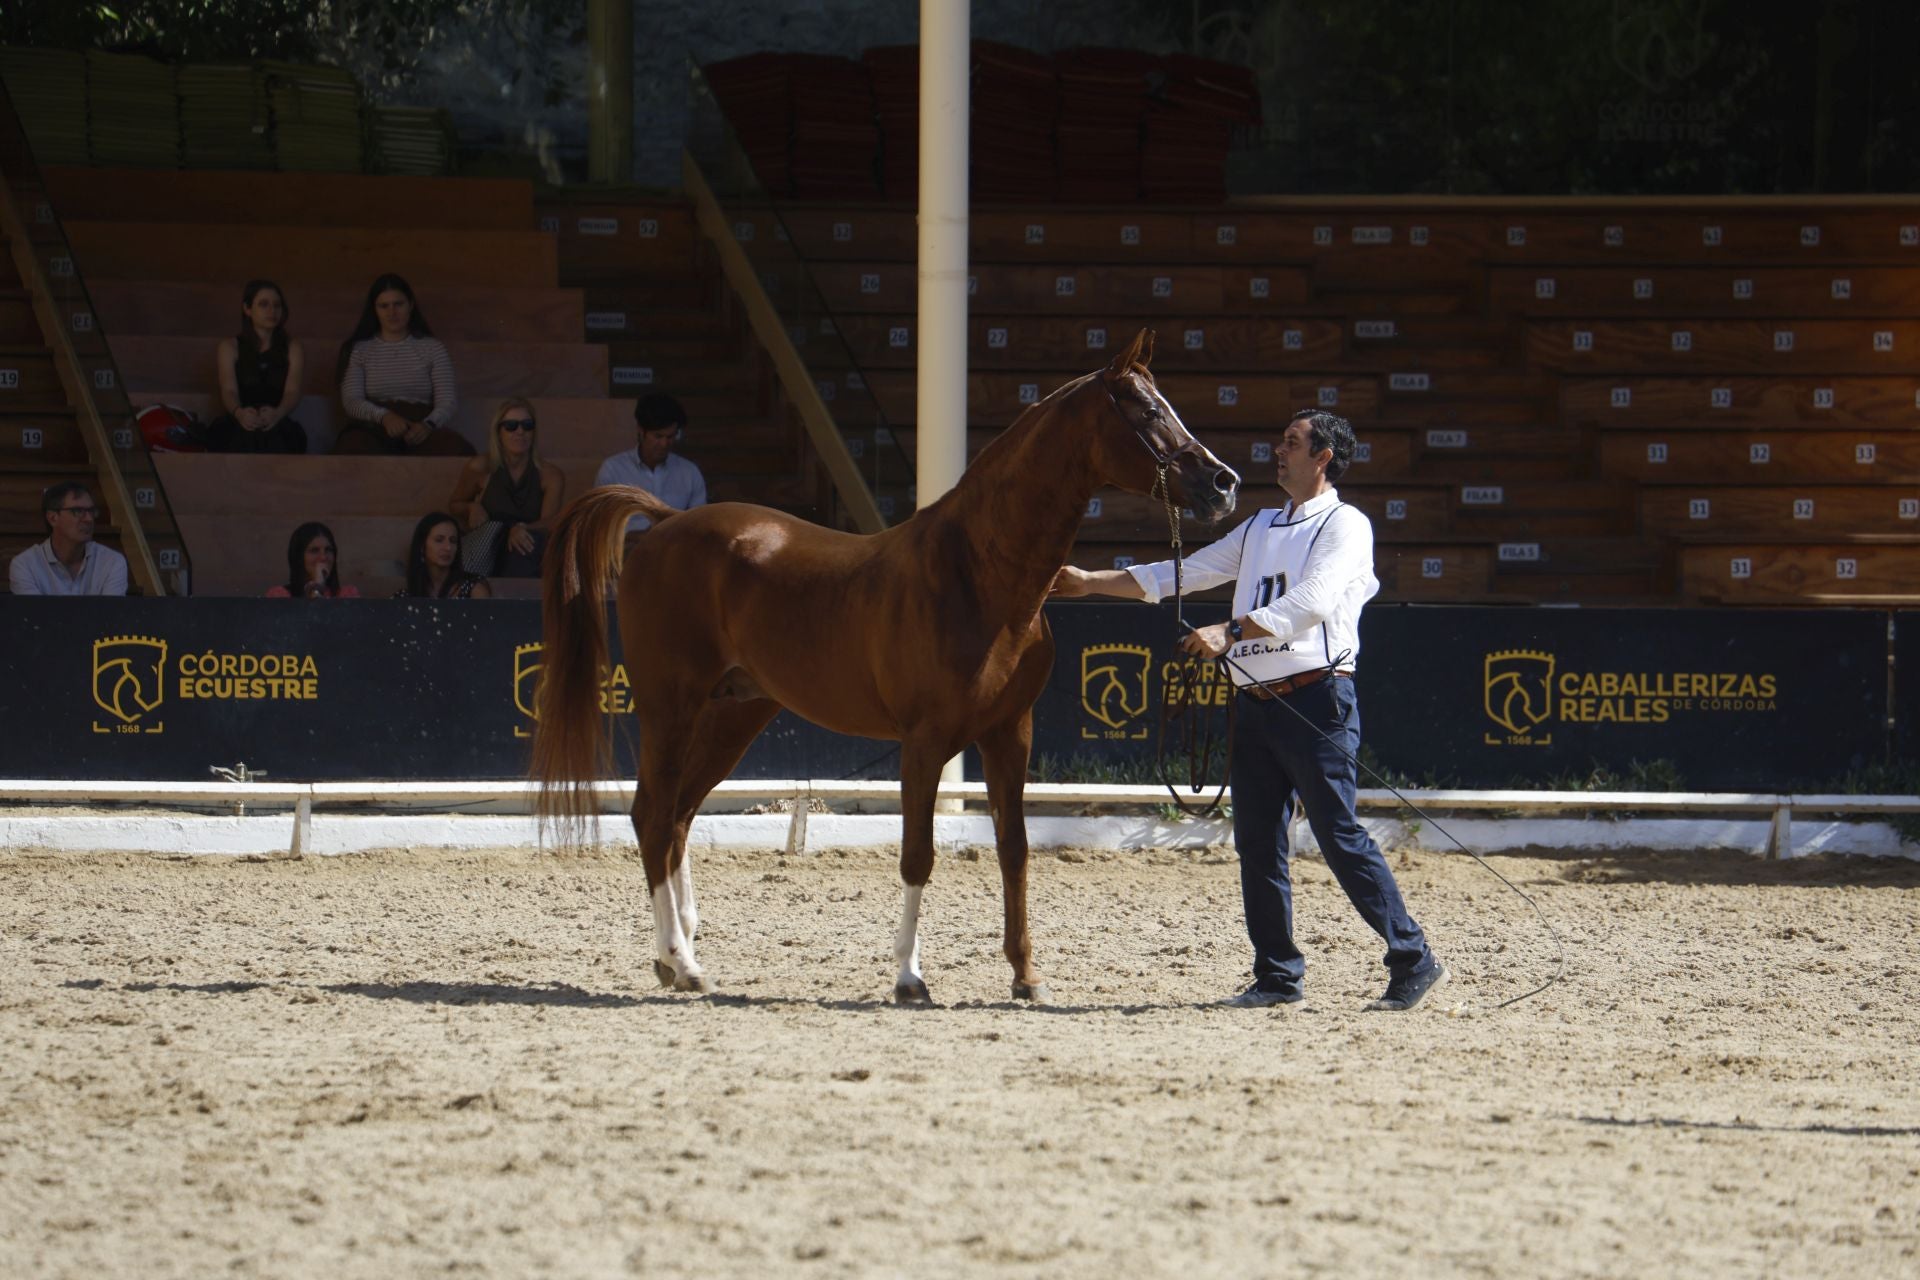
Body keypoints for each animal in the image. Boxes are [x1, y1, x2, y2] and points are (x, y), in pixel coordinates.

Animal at [531, 328, 1239, 1003]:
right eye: (1149, 411)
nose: (1223, 483)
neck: (978, 575)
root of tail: (666, 522)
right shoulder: (923, 742)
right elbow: (917, 856)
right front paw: (908, 977)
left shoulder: (1010, 733)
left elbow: (1014, 849)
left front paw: (1025, 975)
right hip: (670, 708)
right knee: (652, 816)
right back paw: (684, 963)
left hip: (733, 715)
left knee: (677, 817)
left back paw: (675, 957)